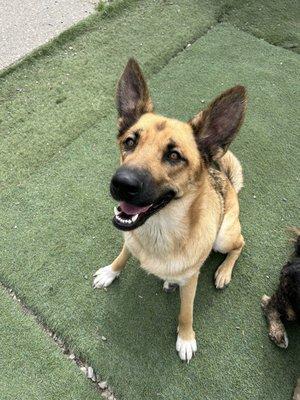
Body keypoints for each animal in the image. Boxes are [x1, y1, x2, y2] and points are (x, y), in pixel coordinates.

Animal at [93, 58, 246, 362]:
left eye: (174, 156)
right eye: (130, 142)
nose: (121, 183)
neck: (159, 229)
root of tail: (226, 181)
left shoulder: (191, 281)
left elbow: (186, 313)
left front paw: (185, 338)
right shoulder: (129, 238)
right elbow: (123, 254)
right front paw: (111, 272)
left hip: (223, 238)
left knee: (241, 243)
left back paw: (224, 272)